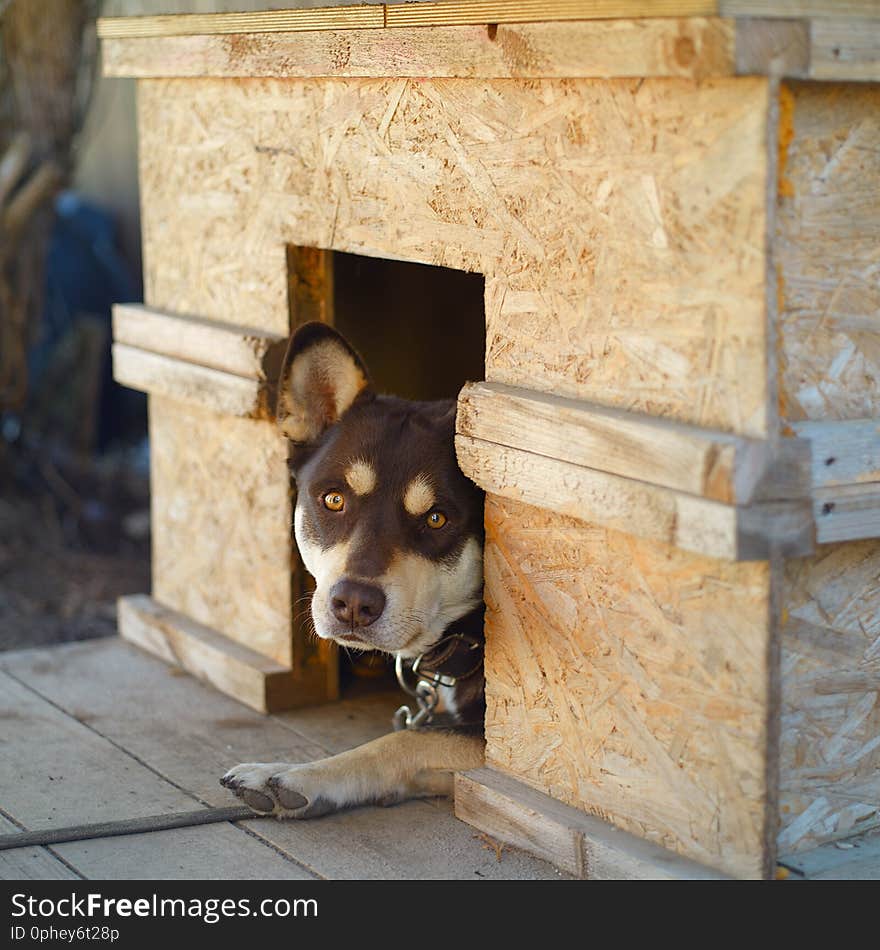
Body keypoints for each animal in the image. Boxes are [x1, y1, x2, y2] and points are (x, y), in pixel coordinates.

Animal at [217, 322, 484, 820]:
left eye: (436, 519)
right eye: (334, 499)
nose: (354, 604)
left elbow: (404, 740)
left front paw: (298, 776)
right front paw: (284, 774)